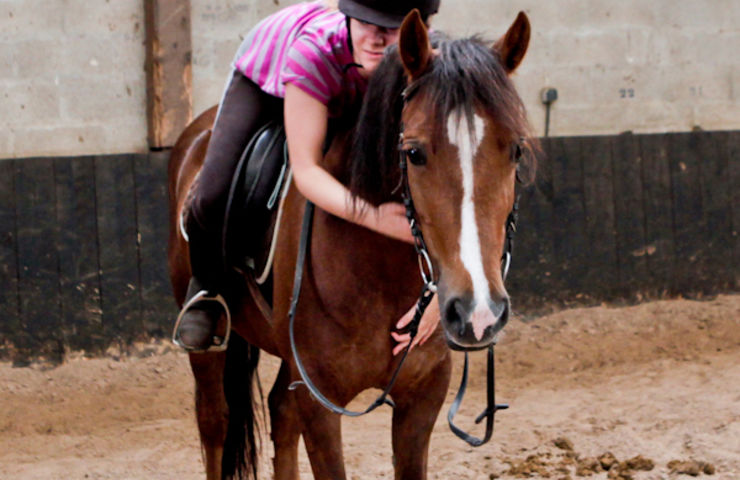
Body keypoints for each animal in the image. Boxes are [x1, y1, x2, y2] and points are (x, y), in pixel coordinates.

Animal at [168, 11, 536, 480]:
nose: (478, 312)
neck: (377, 274)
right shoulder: (320, 401)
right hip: (211, 347)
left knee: (280, 413)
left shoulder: (423, 397)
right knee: (215, 420)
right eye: (413, 153)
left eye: (516, 150)